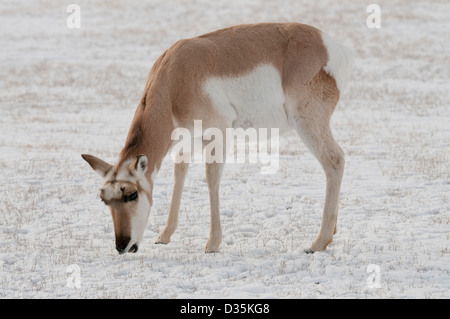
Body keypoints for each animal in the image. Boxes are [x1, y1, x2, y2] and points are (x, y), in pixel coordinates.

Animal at [82, 22, 354, 255]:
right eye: (104, 199)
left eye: (131, 194)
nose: (122, 246)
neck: (173, 78)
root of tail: (330, 45)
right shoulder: (190, 137)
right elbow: (180, 168)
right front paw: (165, 235)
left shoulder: (218, 133)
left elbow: (211, 177)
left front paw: (212, 243)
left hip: (307, 123)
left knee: (335, 160)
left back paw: (318, 243)